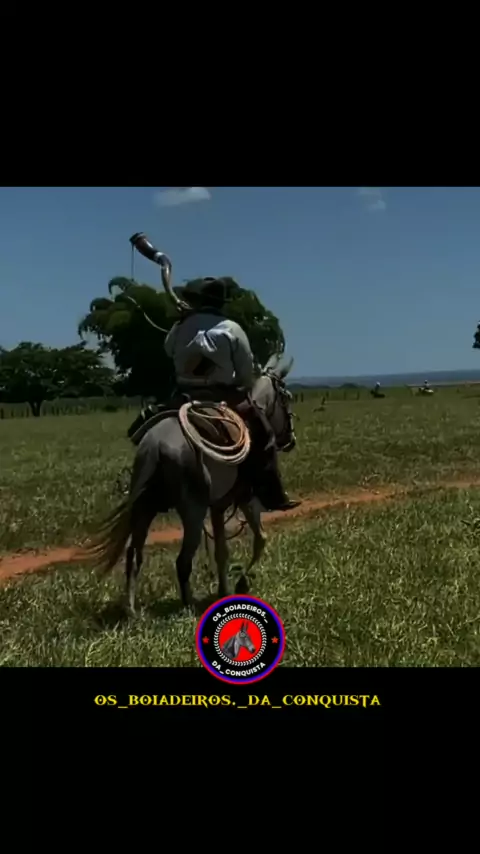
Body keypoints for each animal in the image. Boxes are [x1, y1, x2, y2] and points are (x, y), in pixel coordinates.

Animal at [87, 356, 296, 615]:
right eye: (286, 397)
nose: (291, 440)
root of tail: (155, 445)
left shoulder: (218, 506)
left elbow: (221, 551)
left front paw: (224, 590)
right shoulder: (246, 497)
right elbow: (260, 539)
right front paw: (241, 583)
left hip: (145, 508)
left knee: (134, 555)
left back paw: (132, 610)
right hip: (193, 513)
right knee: (182, 560)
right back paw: (189, 605)